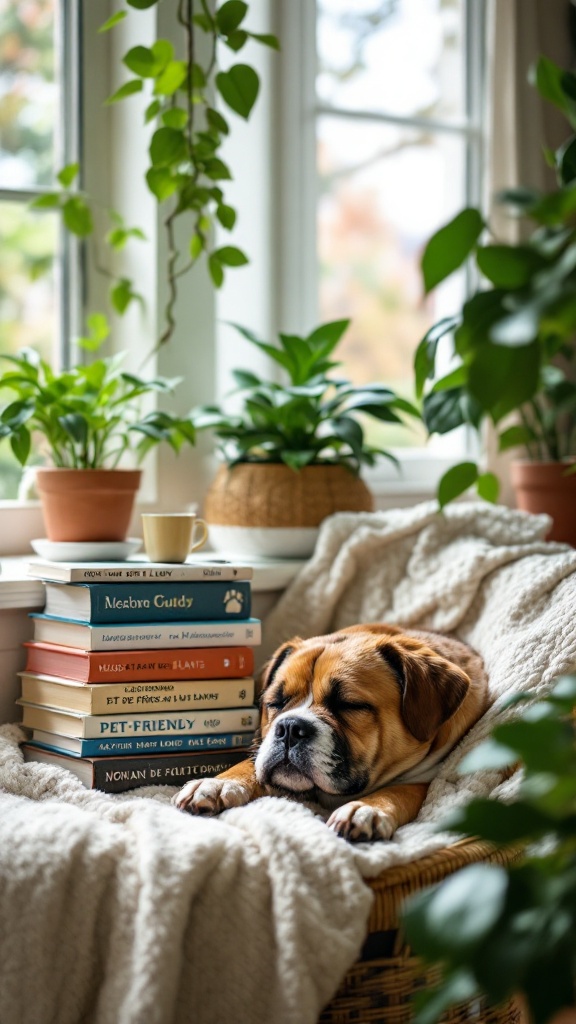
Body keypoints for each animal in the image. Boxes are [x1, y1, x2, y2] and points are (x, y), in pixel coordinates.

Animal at [170, 622, 483, 839]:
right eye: (275, 702)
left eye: (349, 705)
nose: (290, 727)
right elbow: (249, 766)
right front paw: (217, 783)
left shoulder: (429, 777)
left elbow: (403, 790)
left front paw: (368, 808)